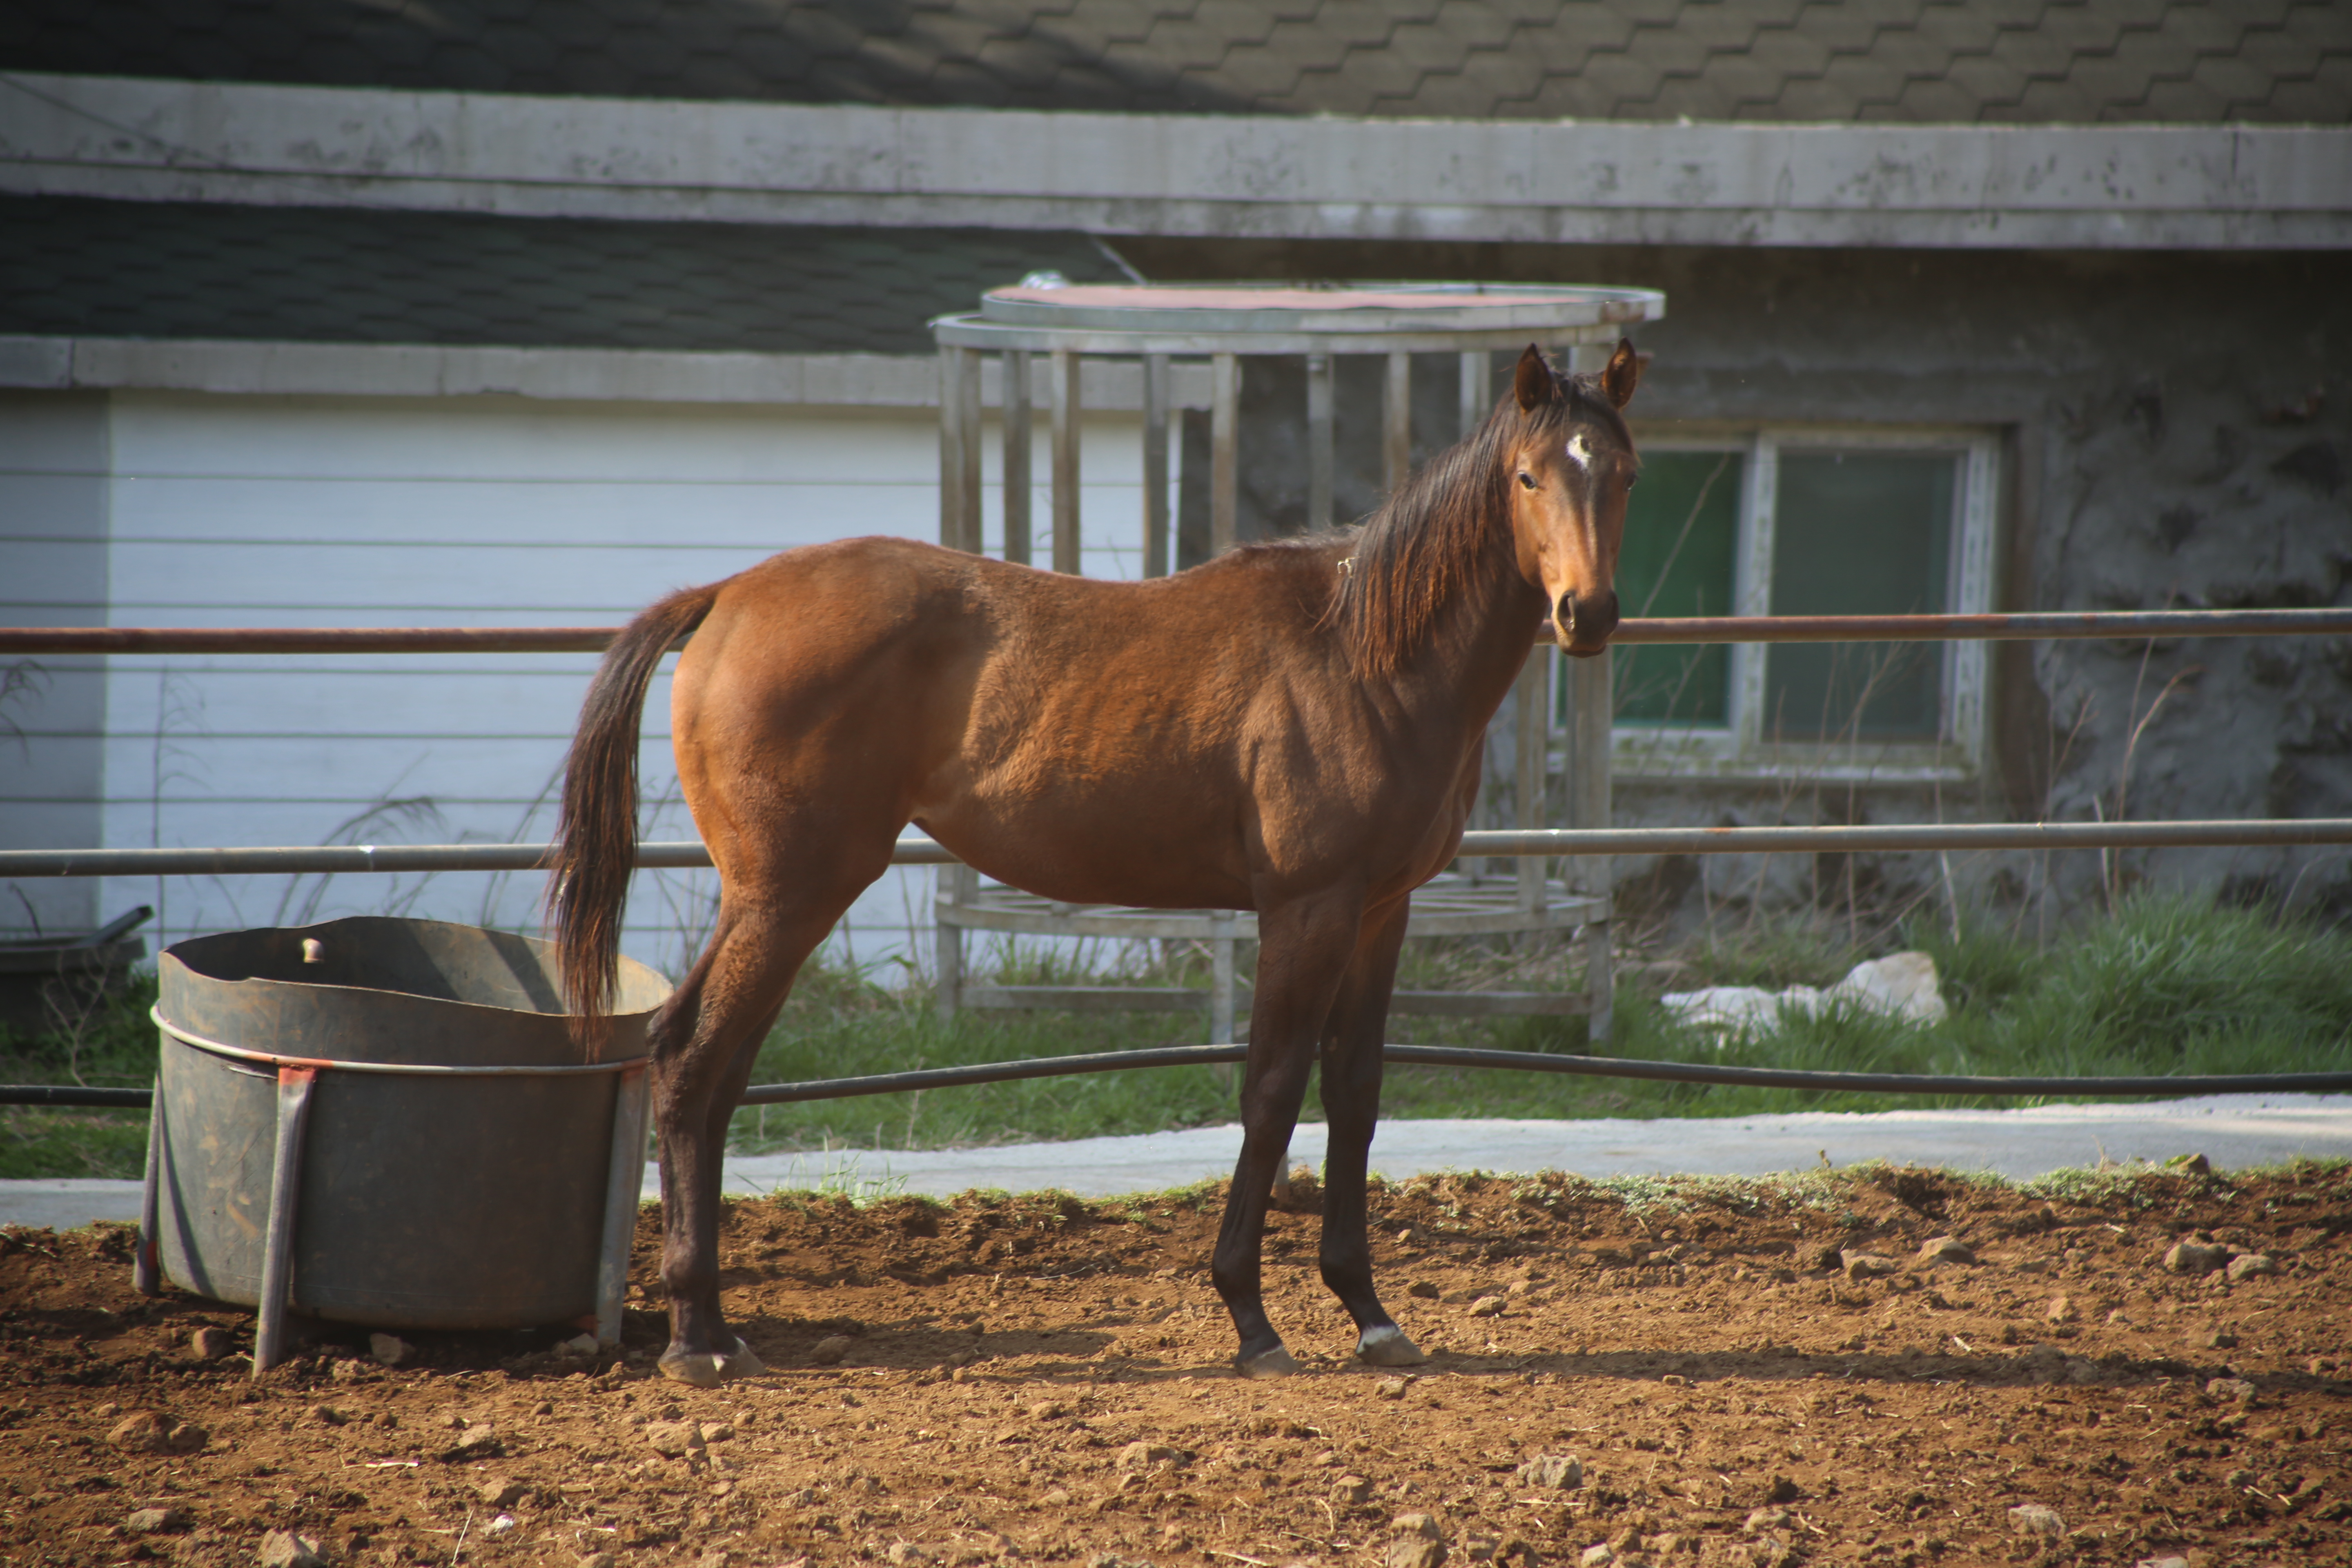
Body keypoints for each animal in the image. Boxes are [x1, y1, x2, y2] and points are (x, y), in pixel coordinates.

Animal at [548, 343, 1637, 1382]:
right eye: (1530, 476)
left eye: (1622, 472)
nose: (1587, 615)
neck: (1362, 653)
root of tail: (726, 596)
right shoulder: (1306, 908)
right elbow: (1272, 1090)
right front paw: (1251, 1320)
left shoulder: (1380, 913)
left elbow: (1356, 1096)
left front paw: (1369, 1314)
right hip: (786, 896)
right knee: (689, 1062)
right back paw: (696, 1339)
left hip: (785, 904)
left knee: (719, 1072)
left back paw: (719, 1328)